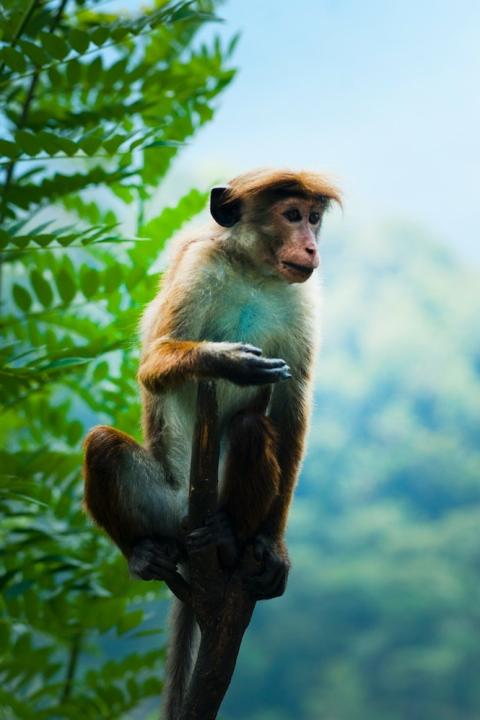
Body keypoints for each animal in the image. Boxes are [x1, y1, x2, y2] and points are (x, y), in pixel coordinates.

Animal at [83, 168, 341, 719]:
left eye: (313, 218)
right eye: (292, 215)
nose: (311, 246)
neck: (254, 273)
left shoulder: (303, 298)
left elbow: (291, 409)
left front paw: (273, 546)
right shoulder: (197, 268)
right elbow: (154, 361)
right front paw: (226, 361)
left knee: (249, 428)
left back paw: (230, 536)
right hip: (162, 504)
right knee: (102, 445)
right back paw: (143, 554)